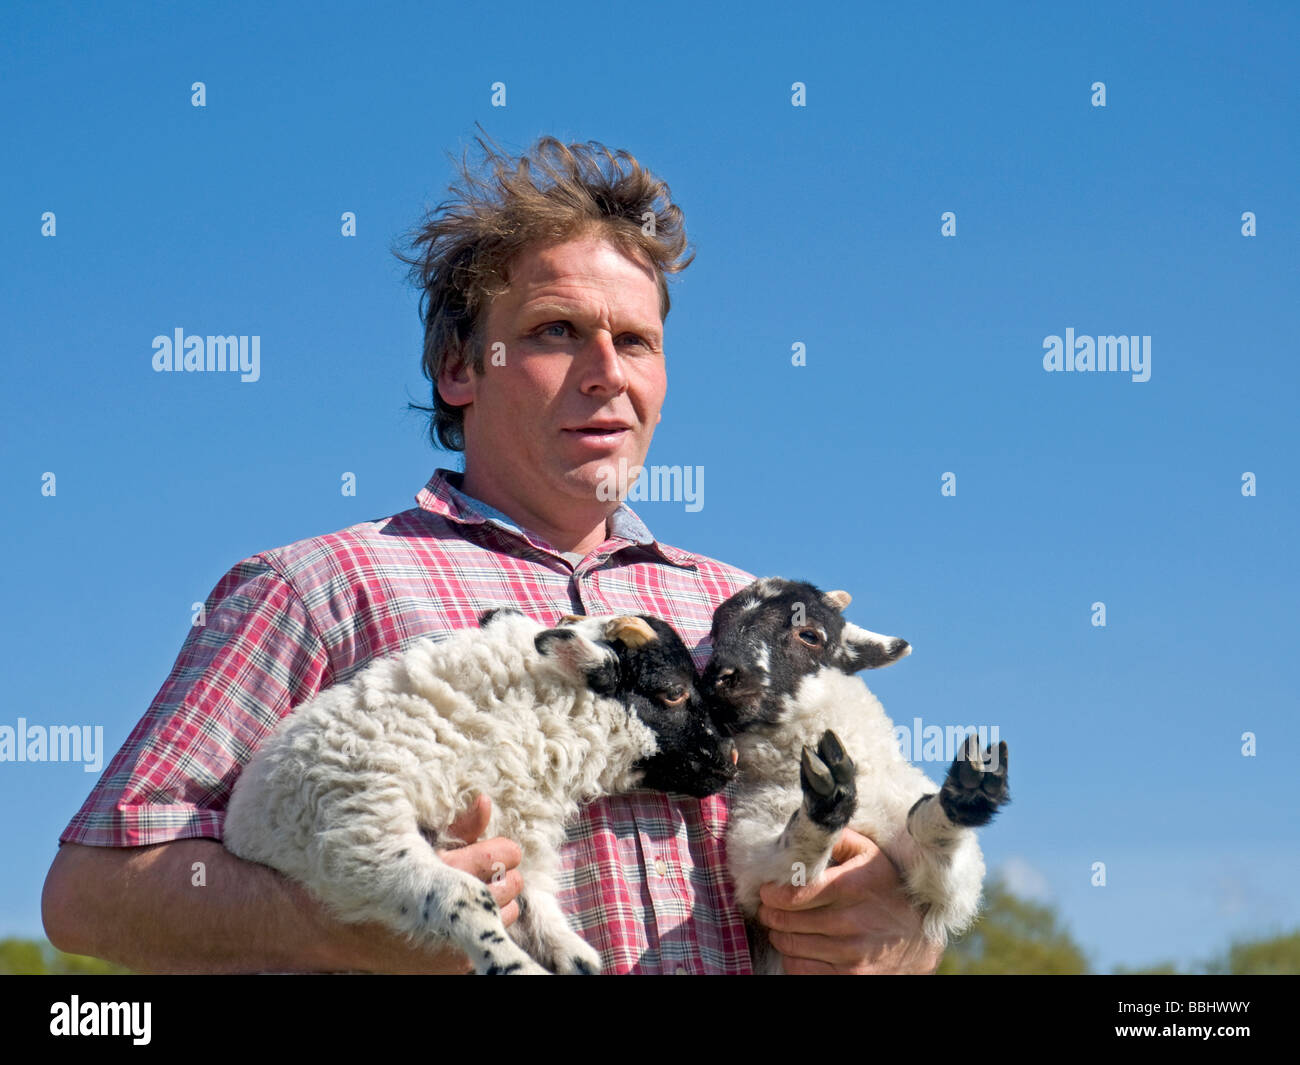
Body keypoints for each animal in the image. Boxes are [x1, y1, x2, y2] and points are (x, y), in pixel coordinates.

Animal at [220, 608, 733, 972]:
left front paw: (574, 956)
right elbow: (463, 896)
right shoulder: (359, 832)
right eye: (673, 691)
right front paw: (513, 966)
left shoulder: (511, 835)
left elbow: (536, 903)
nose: (731, 759)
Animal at [707, 579, 1008, 972]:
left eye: (810, 635)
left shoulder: (943, 886)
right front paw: (825, 799)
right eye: (715, 632)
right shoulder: (753, 858)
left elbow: (938, 847)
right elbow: (793, 852)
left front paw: (963, 793)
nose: (720, 678)